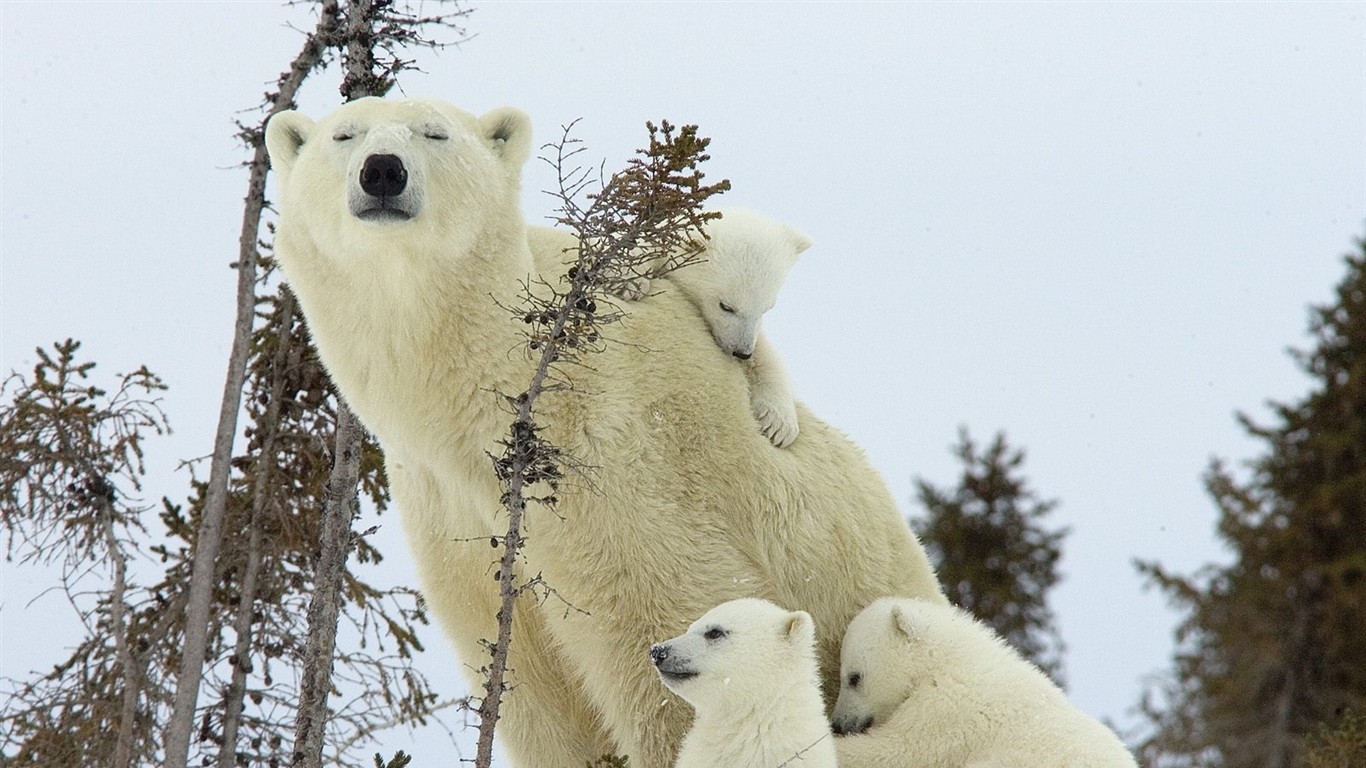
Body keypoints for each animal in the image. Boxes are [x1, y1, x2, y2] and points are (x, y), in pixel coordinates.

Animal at [262, 97, 945, 765]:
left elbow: (666, 634)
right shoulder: (451, 512)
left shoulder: (617, 464)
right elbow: (533, 689)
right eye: (344, 134)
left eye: (435, 133)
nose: (383, 171)